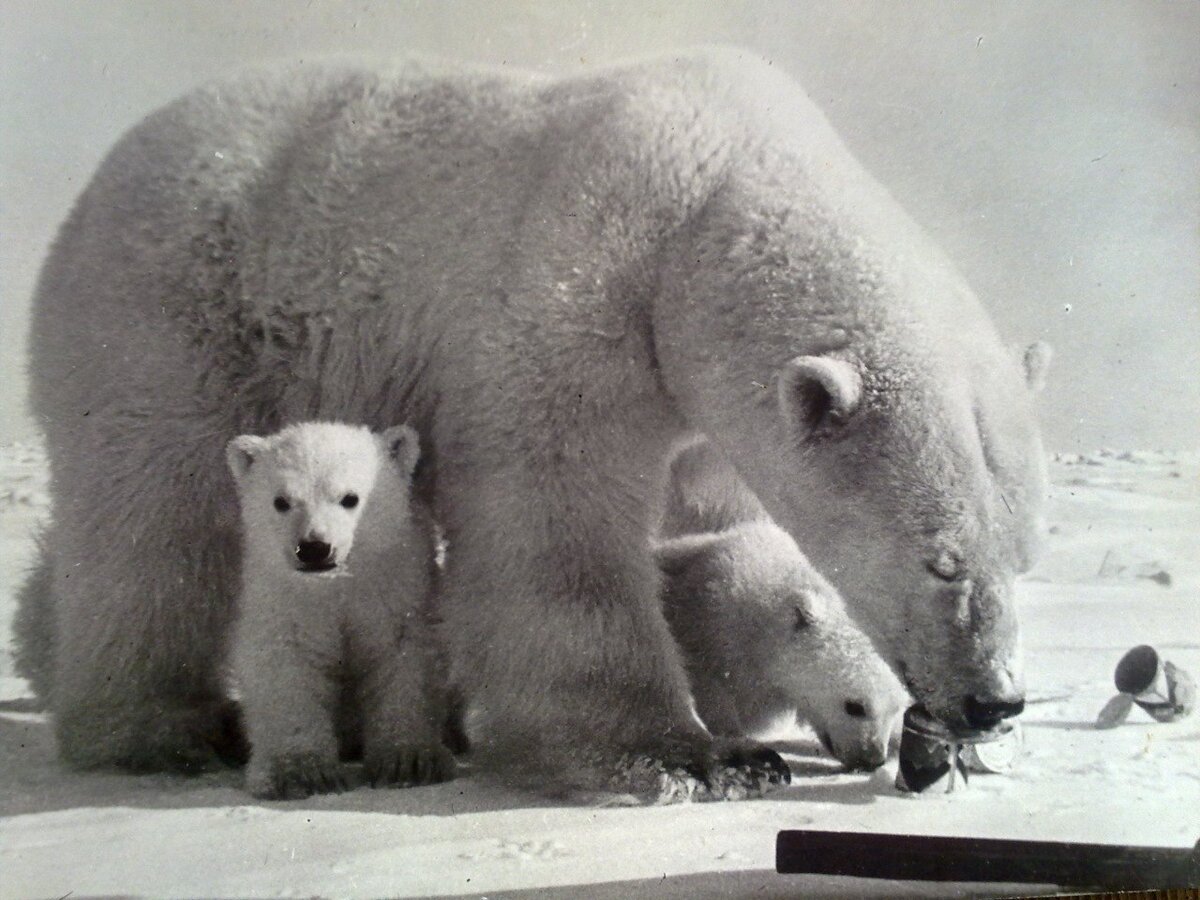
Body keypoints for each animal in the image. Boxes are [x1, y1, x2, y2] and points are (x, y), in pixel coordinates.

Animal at [23, 49, 1046, 796]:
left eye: (1024, 554)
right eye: (941, 560)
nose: (994, 701)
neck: (707, 206)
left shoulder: (708, 404)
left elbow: (724, 523)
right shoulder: (579, 285)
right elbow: (555, 522)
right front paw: (691, 757)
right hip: (176, 310)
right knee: (155, 518)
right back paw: (163, 733)